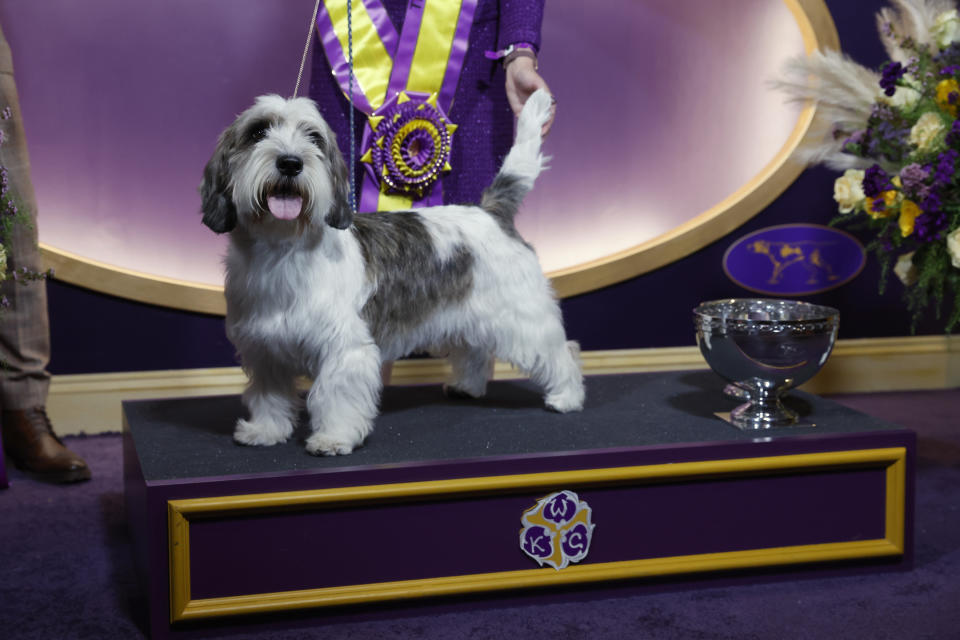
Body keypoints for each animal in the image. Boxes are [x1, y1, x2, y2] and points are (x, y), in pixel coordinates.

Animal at [199, 89, 580, 456]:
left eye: (314, 138)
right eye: (257, 132)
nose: (290, 162)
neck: (283, 250)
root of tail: (491, 211)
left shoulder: (345, 349)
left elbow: (335, 395)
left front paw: (334, 438)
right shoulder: (265, 349)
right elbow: (269, 397)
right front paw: (266, 431)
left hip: (523, 317)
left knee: (561, 351)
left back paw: (567, 396)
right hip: (468, 313)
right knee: (475, 350)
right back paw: (467, 386)